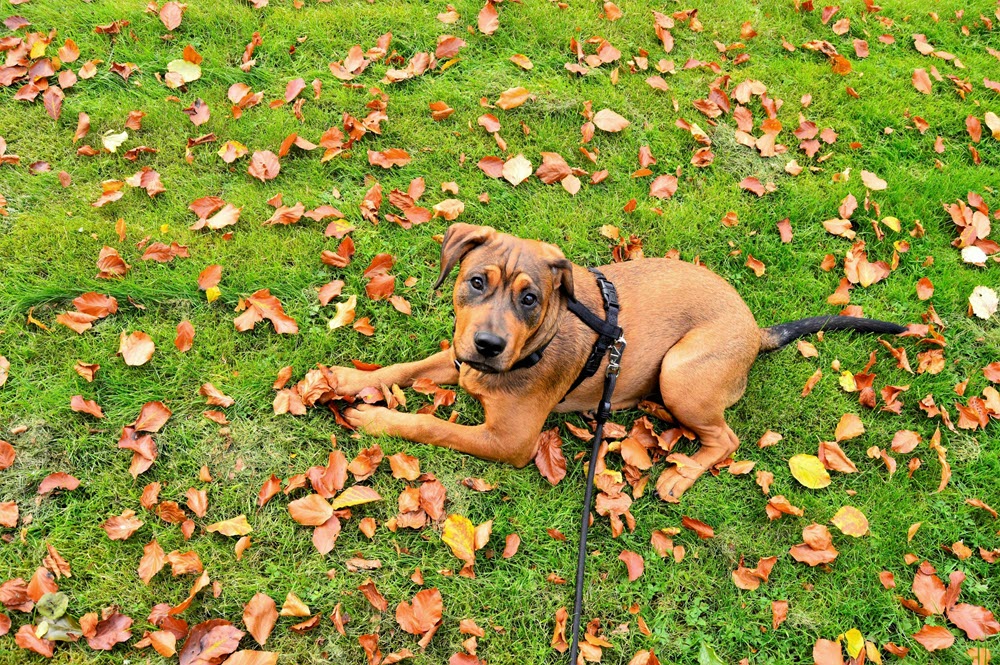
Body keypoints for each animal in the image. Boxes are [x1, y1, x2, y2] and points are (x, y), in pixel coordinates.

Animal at [336, 223, 908, 498]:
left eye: (530, 299)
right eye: (476, 282)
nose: (488, 345)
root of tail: (753, 330)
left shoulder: (510, 441)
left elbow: (432, 426)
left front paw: (376, 418)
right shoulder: (457, 359)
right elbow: (405, 369)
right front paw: (346, 377)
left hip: (680, 372)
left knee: (726, 438)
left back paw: (682, 474)